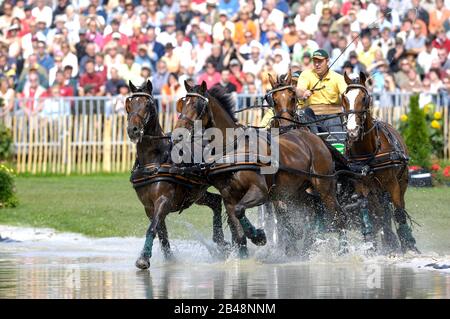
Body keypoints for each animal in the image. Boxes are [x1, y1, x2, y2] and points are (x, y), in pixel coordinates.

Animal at [126, 80, 232, 270]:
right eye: (129, 105)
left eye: (148, 104)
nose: (134, 130)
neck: (154, 159)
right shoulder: (149, 207)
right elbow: (162, 233)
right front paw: (169, 258)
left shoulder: (163, 201)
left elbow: (152, 228)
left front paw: (143, 258)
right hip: (196, 193)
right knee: (216, 201)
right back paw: (220, 242)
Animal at [175, 82, 348, 258]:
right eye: (182, 104)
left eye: (197, 105)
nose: (178, 134)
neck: (233, 150)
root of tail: (316, 138)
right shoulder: (228, 198)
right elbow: (239, 234)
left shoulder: (261, 192)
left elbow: (240, 210)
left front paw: (258, 236)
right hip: (293, 192)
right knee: (312, 208)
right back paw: (306, 247)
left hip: (324, 187)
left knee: (339, 217)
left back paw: (343, 250)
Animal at [342, 72, 420, 255]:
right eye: (344, 98)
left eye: (364, 98)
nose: (352, 131)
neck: (368, 151)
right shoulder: (361, 185)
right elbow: (364, 209)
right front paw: (370, 243)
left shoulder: (392, 183)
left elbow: (398, 211)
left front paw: (408, 245)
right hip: (376, 191)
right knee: (381, 212)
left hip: (401, 181)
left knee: (397, 207)